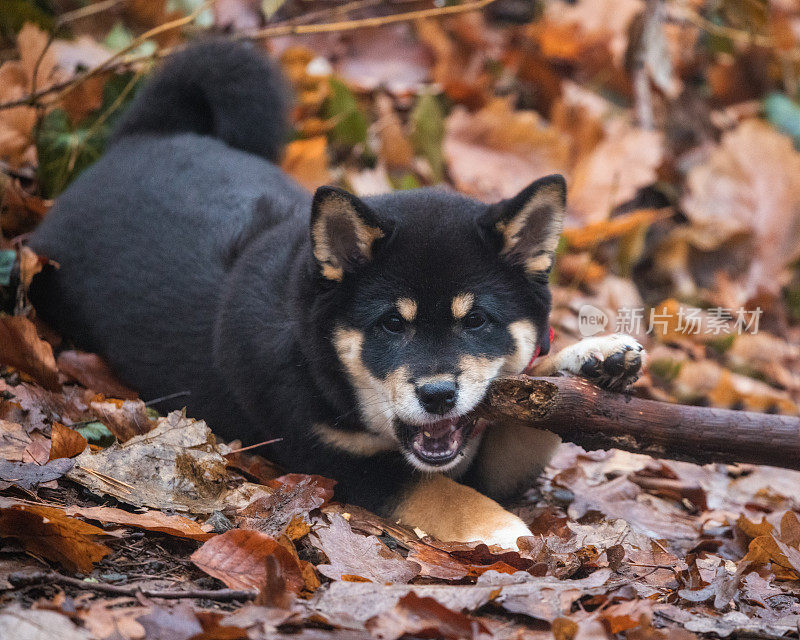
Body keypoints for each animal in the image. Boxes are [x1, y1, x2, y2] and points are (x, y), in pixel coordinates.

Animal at [31, 41, 644, 552]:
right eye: (391, 325)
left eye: (477, 322)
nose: (438, 395)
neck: (315, 355)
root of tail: (140, 138)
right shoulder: (335, 459)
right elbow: (440, 492)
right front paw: (503, 529)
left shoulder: (490, 455)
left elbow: (535, 410)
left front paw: (593, 359)